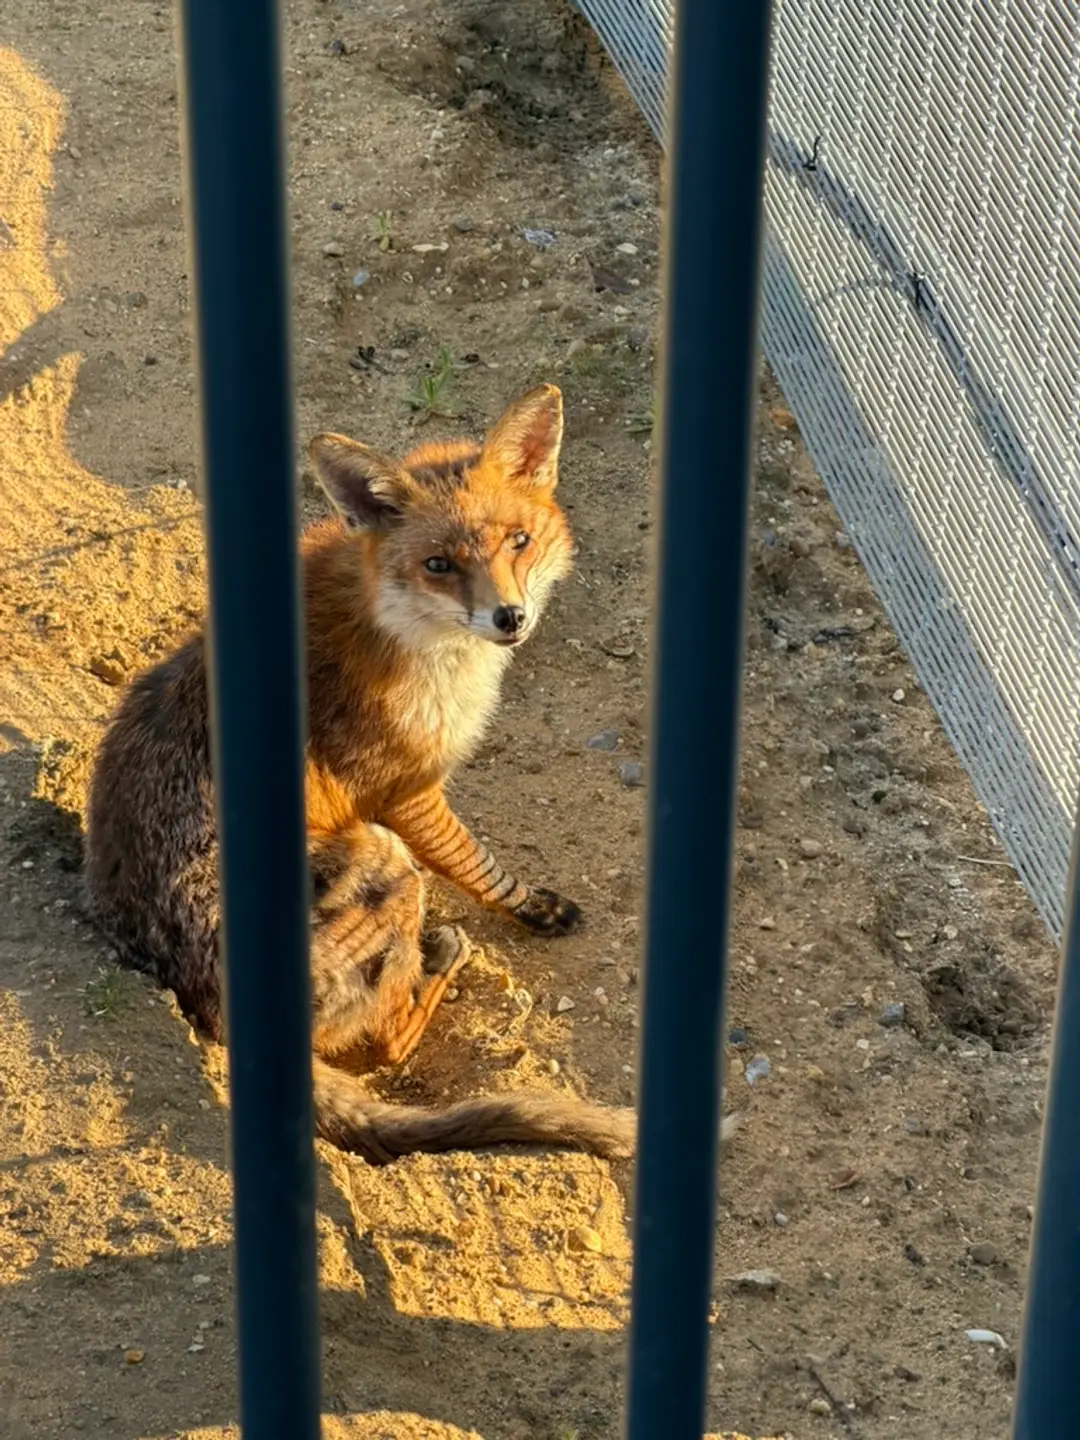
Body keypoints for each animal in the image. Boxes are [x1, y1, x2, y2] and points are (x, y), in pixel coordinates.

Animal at [83, 384, 644, 1165]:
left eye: (518, 542)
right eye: (439, 564)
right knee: (383, 1048)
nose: (509, 618)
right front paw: (534, 908)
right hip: (387, 862)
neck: (399, 626)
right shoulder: (404, 791)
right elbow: (477, 865)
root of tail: (208, 1012)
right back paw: (438, 967)